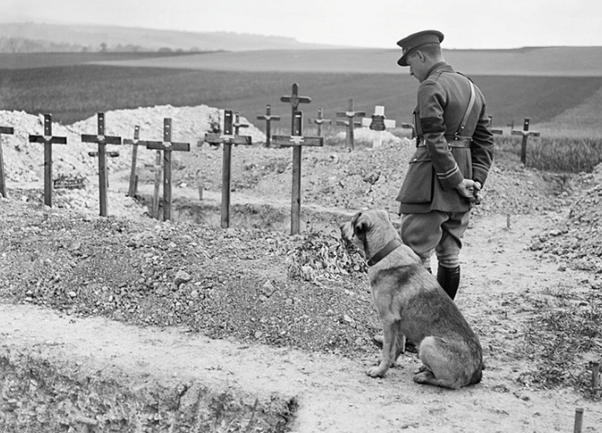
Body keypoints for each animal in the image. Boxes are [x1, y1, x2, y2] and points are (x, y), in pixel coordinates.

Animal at [340, 209, 480, 388]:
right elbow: (397, 347)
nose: (339, 226)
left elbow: (387, 351)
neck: (386, 251)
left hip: (428, 343)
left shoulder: (388, 320)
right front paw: (390, 365)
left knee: (450, 383)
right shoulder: (398, 323)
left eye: (352, 221)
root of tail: (477, 372)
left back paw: (424, 377)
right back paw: (424, 369)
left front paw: (380, 371)